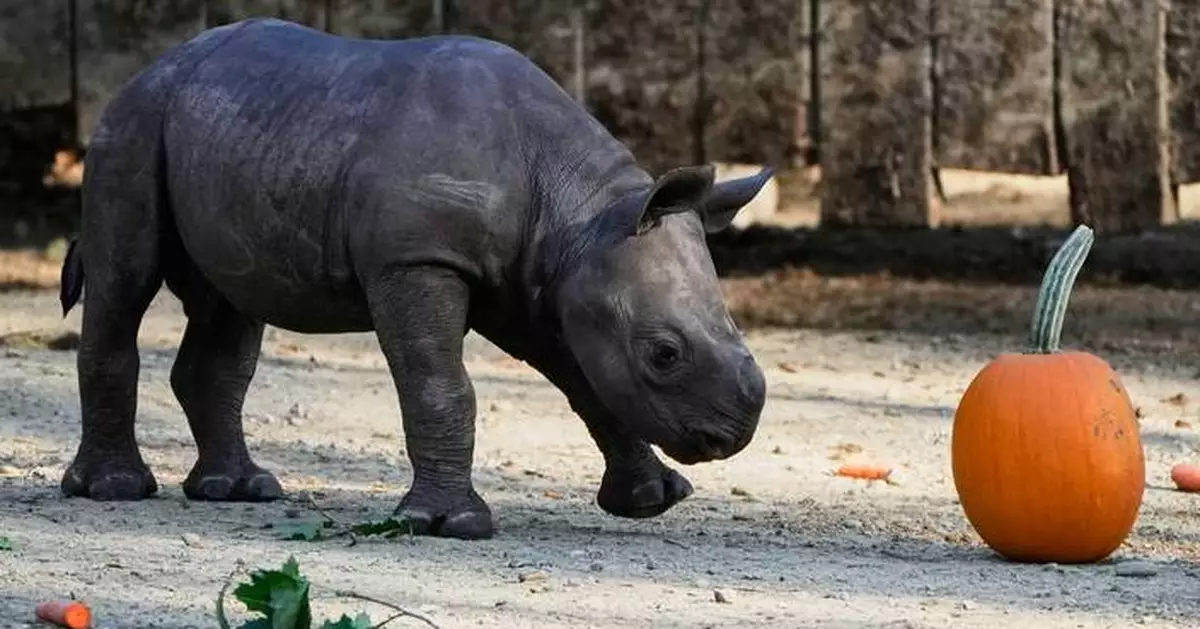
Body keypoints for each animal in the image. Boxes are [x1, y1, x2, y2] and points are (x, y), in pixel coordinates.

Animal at [58, 18, 770, 540]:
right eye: (664, 355)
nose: (734, 434)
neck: (580, 213)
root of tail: (155, 64)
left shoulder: (544, 284)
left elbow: (589, 384)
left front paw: (651, 500)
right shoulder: (416, 259)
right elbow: (440, 386)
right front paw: (449, 524)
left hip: (230, 133)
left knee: (230, 309)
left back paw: (237, 491)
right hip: (133, 125)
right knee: (125, 280)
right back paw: (116, 490)